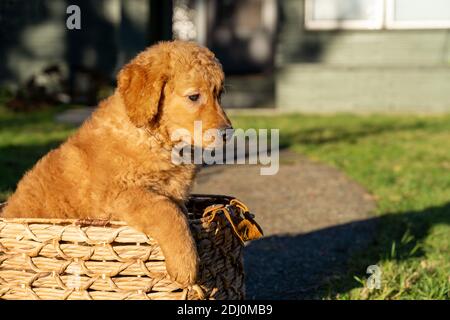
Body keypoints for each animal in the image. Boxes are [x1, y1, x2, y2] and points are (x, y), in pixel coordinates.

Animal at [3, 40, 234, 284]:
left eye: (219, 94)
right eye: (193, 97)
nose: (228, 133)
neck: (152, 138)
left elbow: (177, 210)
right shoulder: (119, 196)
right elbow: (167, 211)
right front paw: (186, 264)